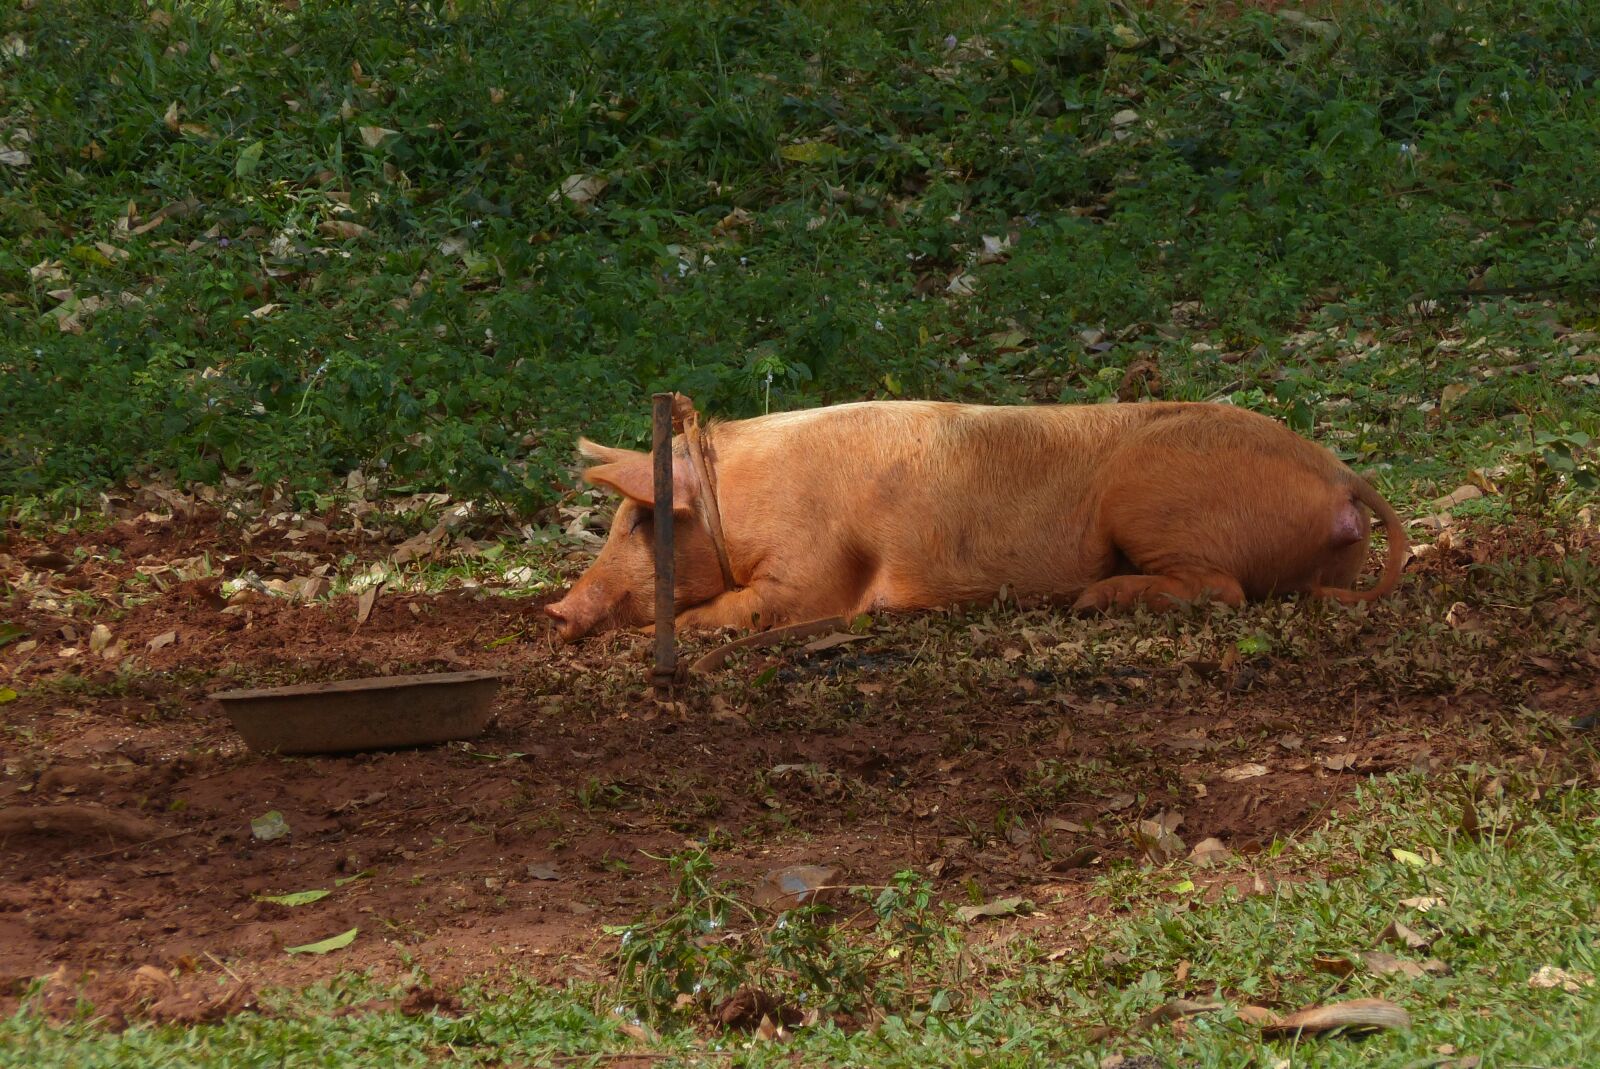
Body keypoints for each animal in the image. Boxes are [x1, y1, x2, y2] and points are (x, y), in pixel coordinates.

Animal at [543, 400, 1407, 642]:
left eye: (638, 521)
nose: (555, 609)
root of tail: (1338, 475)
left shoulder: (813, 567)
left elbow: (757, 607)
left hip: (1153, 498)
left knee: (1224, 588)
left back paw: (1093, 602)